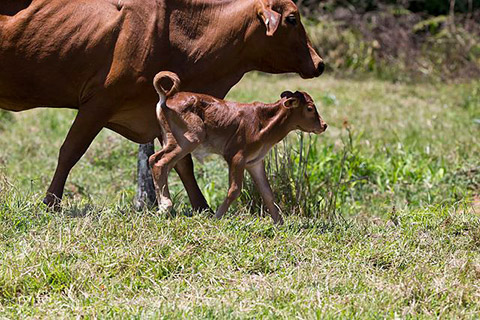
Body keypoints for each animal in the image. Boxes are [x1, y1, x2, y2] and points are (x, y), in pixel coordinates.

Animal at [0, 0, 324, 210]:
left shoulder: (161, 117)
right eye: (292, 19)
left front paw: (201, 207)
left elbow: (183, 164)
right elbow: (70, 151)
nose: (319, 63)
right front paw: (51, 202)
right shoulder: (98, 103)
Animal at [150, 71, 328, 224]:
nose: (324, 125)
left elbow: (267, 193)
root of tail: (168, 98)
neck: (263, 122)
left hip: (170, 140)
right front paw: (217, 217)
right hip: (189, 139)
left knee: (160, 162)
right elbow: (234, 190)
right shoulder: (236, 157)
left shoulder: (254, 162)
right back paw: (165, 206)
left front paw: (280, 223)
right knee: (159, 162)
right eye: (310, 108)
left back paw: (163, 204)